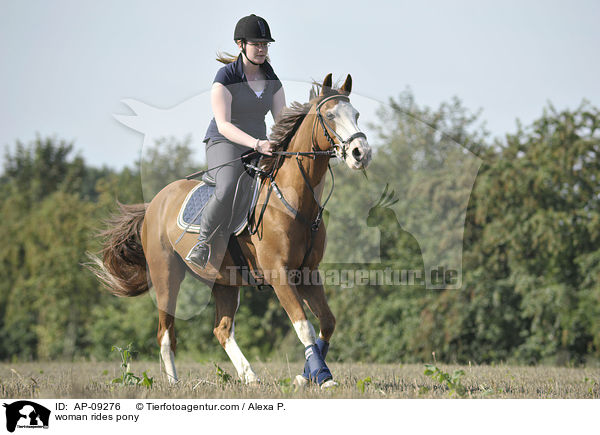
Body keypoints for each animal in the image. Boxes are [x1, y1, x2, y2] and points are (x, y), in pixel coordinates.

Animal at [90, 73, 370, 390]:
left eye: (356, 115)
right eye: (330, 115)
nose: (361, 153)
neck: (293, 200)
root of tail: (154, 204)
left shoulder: (308, 273)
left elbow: (327, 323)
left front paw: (306, 375)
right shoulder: (279, 274)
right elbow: (304, 327)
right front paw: (321, 376)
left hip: (224, 282)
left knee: (221, 330)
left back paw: (249, 376)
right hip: (165, 275)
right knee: (166, 332)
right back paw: (175, 383)